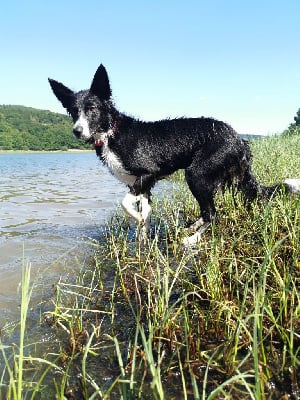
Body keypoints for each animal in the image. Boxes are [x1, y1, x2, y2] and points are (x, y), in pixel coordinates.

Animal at [48, 64, 298, 245]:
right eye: (73, 112)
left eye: (92, 109)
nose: (77, 131)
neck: (111, 132)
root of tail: (239, 139)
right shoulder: (142, 185)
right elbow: (144, 212)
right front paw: (142, 241)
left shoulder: (148, 174)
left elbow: (126, 204)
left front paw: (138, 220)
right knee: (207, 210)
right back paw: (192, 227)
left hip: (196, 173)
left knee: (213, 214)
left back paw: (192, 239)